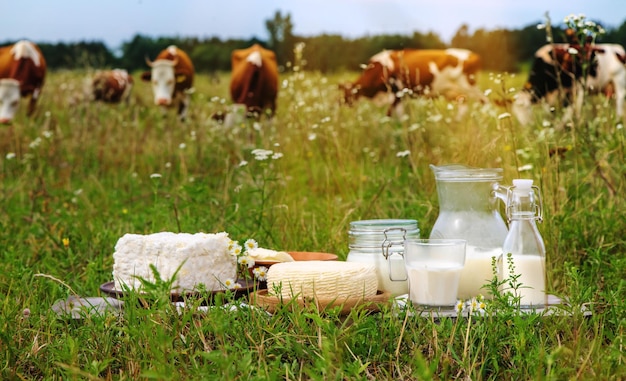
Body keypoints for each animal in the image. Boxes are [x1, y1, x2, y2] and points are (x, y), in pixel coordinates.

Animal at [338, 48, 486, 115]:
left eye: (349, 94)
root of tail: (473, 54)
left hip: (470, 86)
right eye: (344, 93)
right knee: (463, 105)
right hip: (454, 92)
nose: (342, 105)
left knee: (484, 101)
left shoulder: (396, 94)